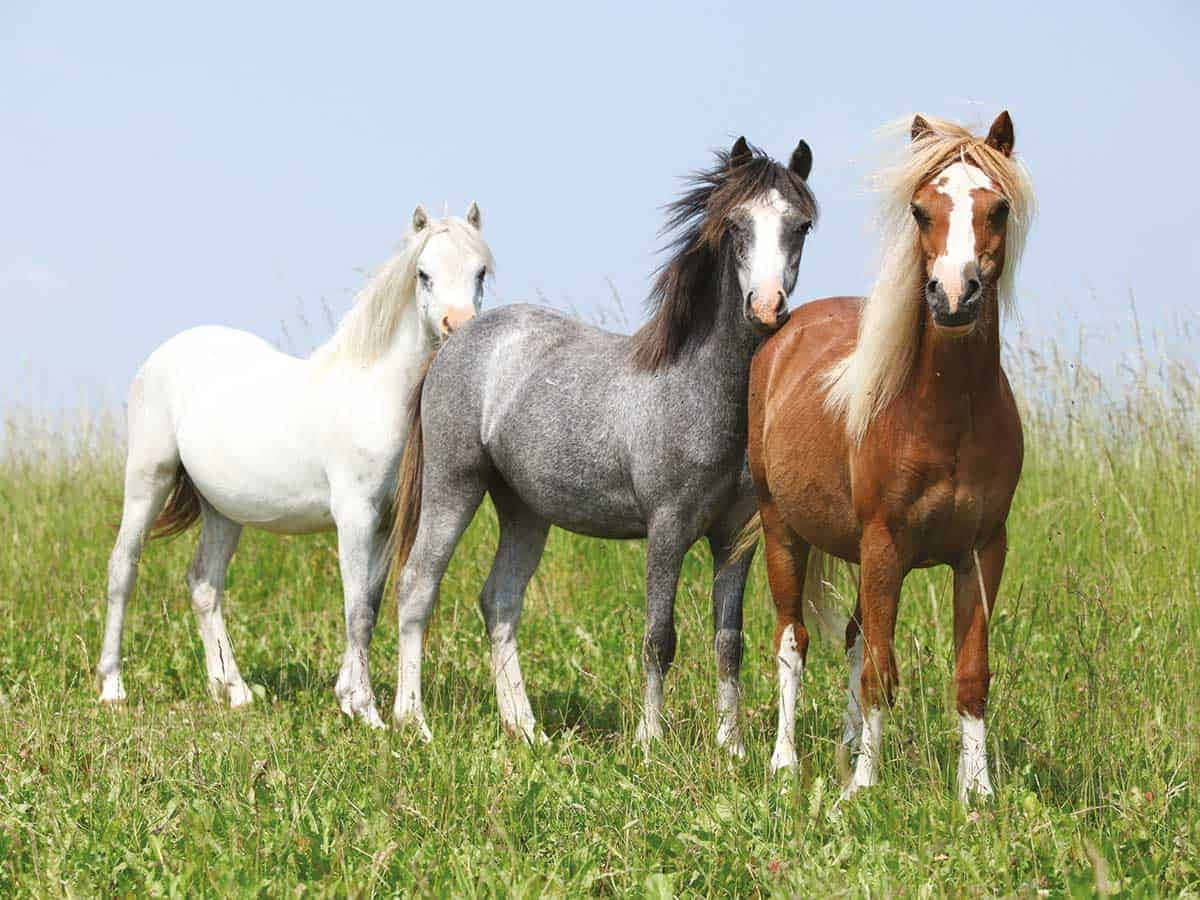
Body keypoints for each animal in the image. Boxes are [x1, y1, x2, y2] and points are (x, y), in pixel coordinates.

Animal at [97, 204, 495, 727]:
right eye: (423, 274)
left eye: (480, 272)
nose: (458, 325)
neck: (373, 391)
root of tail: (168, 352)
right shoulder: (355, 517)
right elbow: (356, 610)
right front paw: (366, 711)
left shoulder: (384, 523)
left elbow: (368, 604)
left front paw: (348, 697)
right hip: (149, 479)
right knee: (124, 567)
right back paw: (112, 687)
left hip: (222, 509)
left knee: (204, 585)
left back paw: (232, 690)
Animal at [389, 138, 817, 750]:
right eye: (735, 225)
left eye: (801, 225)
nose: (766, 307)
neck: (697, 390)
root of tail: (457, 341)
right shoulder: (667, 531)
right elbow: (659, 637)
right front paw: (649, 741)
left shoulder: (735, 539)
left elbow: (728, 642)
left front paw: (731, 746)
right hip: (454, 487)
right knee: (418, 586)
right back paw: (413, 722)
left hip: (524, 510)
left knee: (500, 601)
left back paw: (526, 729)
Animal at [738, 112, 1034, 803]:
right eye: (921, 210)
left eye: (999, 208)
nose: (953, 297)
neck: (945, 416)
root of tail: (784, 331)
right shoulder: (885, 546)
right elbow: (879, 667)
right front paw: (862, 790)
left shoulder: (983, 551)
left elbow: (970, 673)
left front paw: (978, 794)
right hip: (784, 530)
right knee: (793, 639)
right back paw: (785, 764)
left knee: (851, 638)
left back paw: (845, 748)